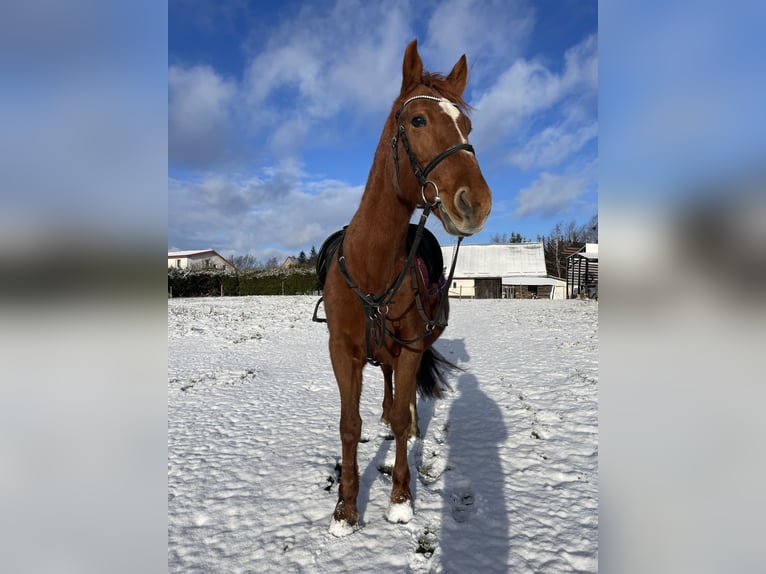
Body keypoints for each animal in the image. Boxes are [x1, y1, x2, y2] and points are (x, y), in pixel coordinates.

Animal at [316, 39, 492, 536]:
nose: (477, 203)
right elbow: (349, 424)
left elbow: (399, 414)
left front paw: (398, 499)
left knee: (404, 394)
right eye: (418, 120)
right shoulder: (343, 352)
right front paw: (345, 509)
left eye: (467, 125)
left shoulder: (412, 346)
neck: (372, 265)